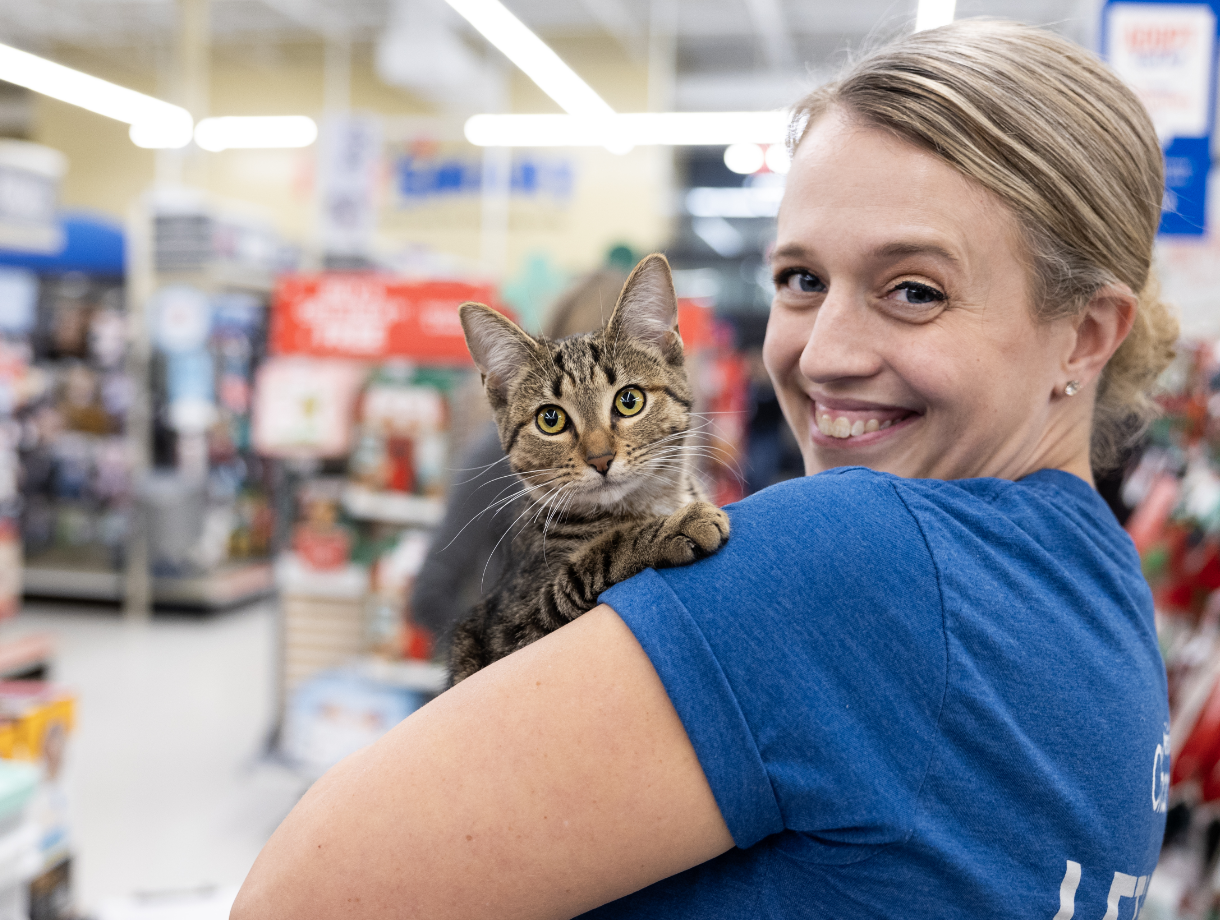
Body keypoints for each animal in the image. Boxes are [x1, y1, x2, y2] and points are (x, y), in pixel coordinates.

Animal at [451, 251, 727, 683]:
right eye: (550, 419)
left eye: (629, 400)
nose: (600, 458)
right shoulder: (508, 634)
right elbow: (597, 555)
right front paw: (673, 527)